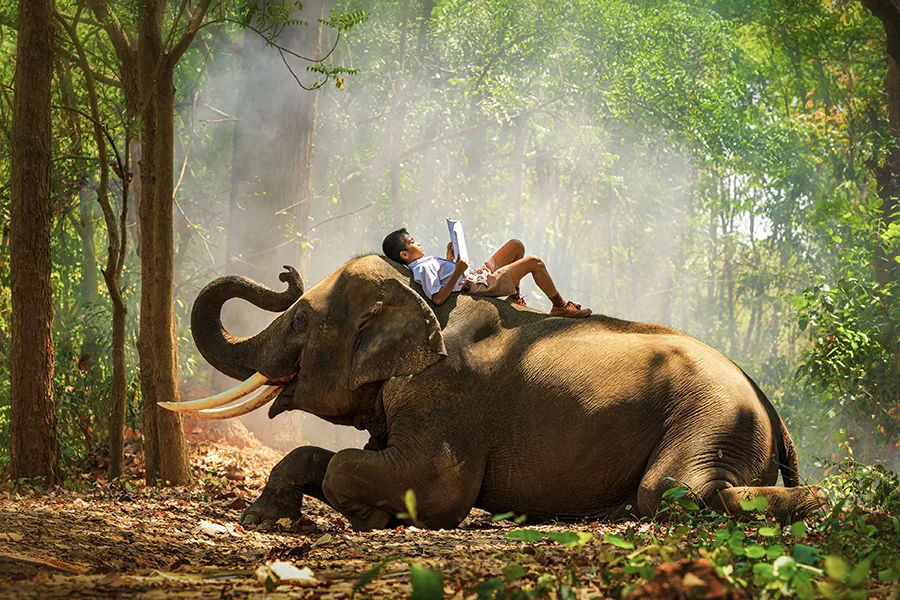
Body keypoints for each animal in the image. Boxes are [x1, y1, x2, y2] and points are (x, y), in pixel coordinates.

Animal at [164, 255, 825, 531]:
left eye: (301, 319)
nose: (284, 274)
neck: (422, 296)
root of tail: (769, 402)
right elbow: (329, 457)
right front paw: (262, 521)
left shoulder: (446, 396)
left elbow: (427, 485)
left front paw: (371, 517)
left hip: (713, 421)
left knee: (672, 491)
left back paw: (829, 502)